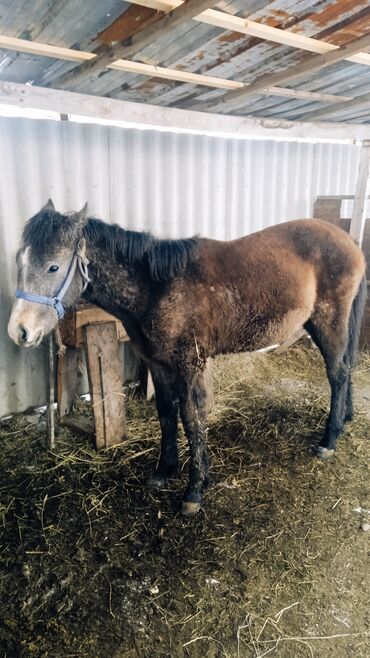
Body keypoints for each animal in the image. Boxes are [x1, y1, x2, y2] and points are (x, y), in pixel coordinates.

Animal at [7, 200, 366, 512]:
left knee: (337, 373)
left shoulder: (189, 365)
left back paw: (329, 439)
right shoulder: (157, 363)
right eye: (20, 262)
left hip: (328, 323)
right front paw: (165, 470)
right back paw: (345, 418)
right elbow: (167, 414)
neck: (156, 287)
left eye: (53, 266)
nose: (19, 331)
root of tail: (350, 242)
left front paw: (195, 489)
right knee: (345, 368)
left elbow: (192, 419)